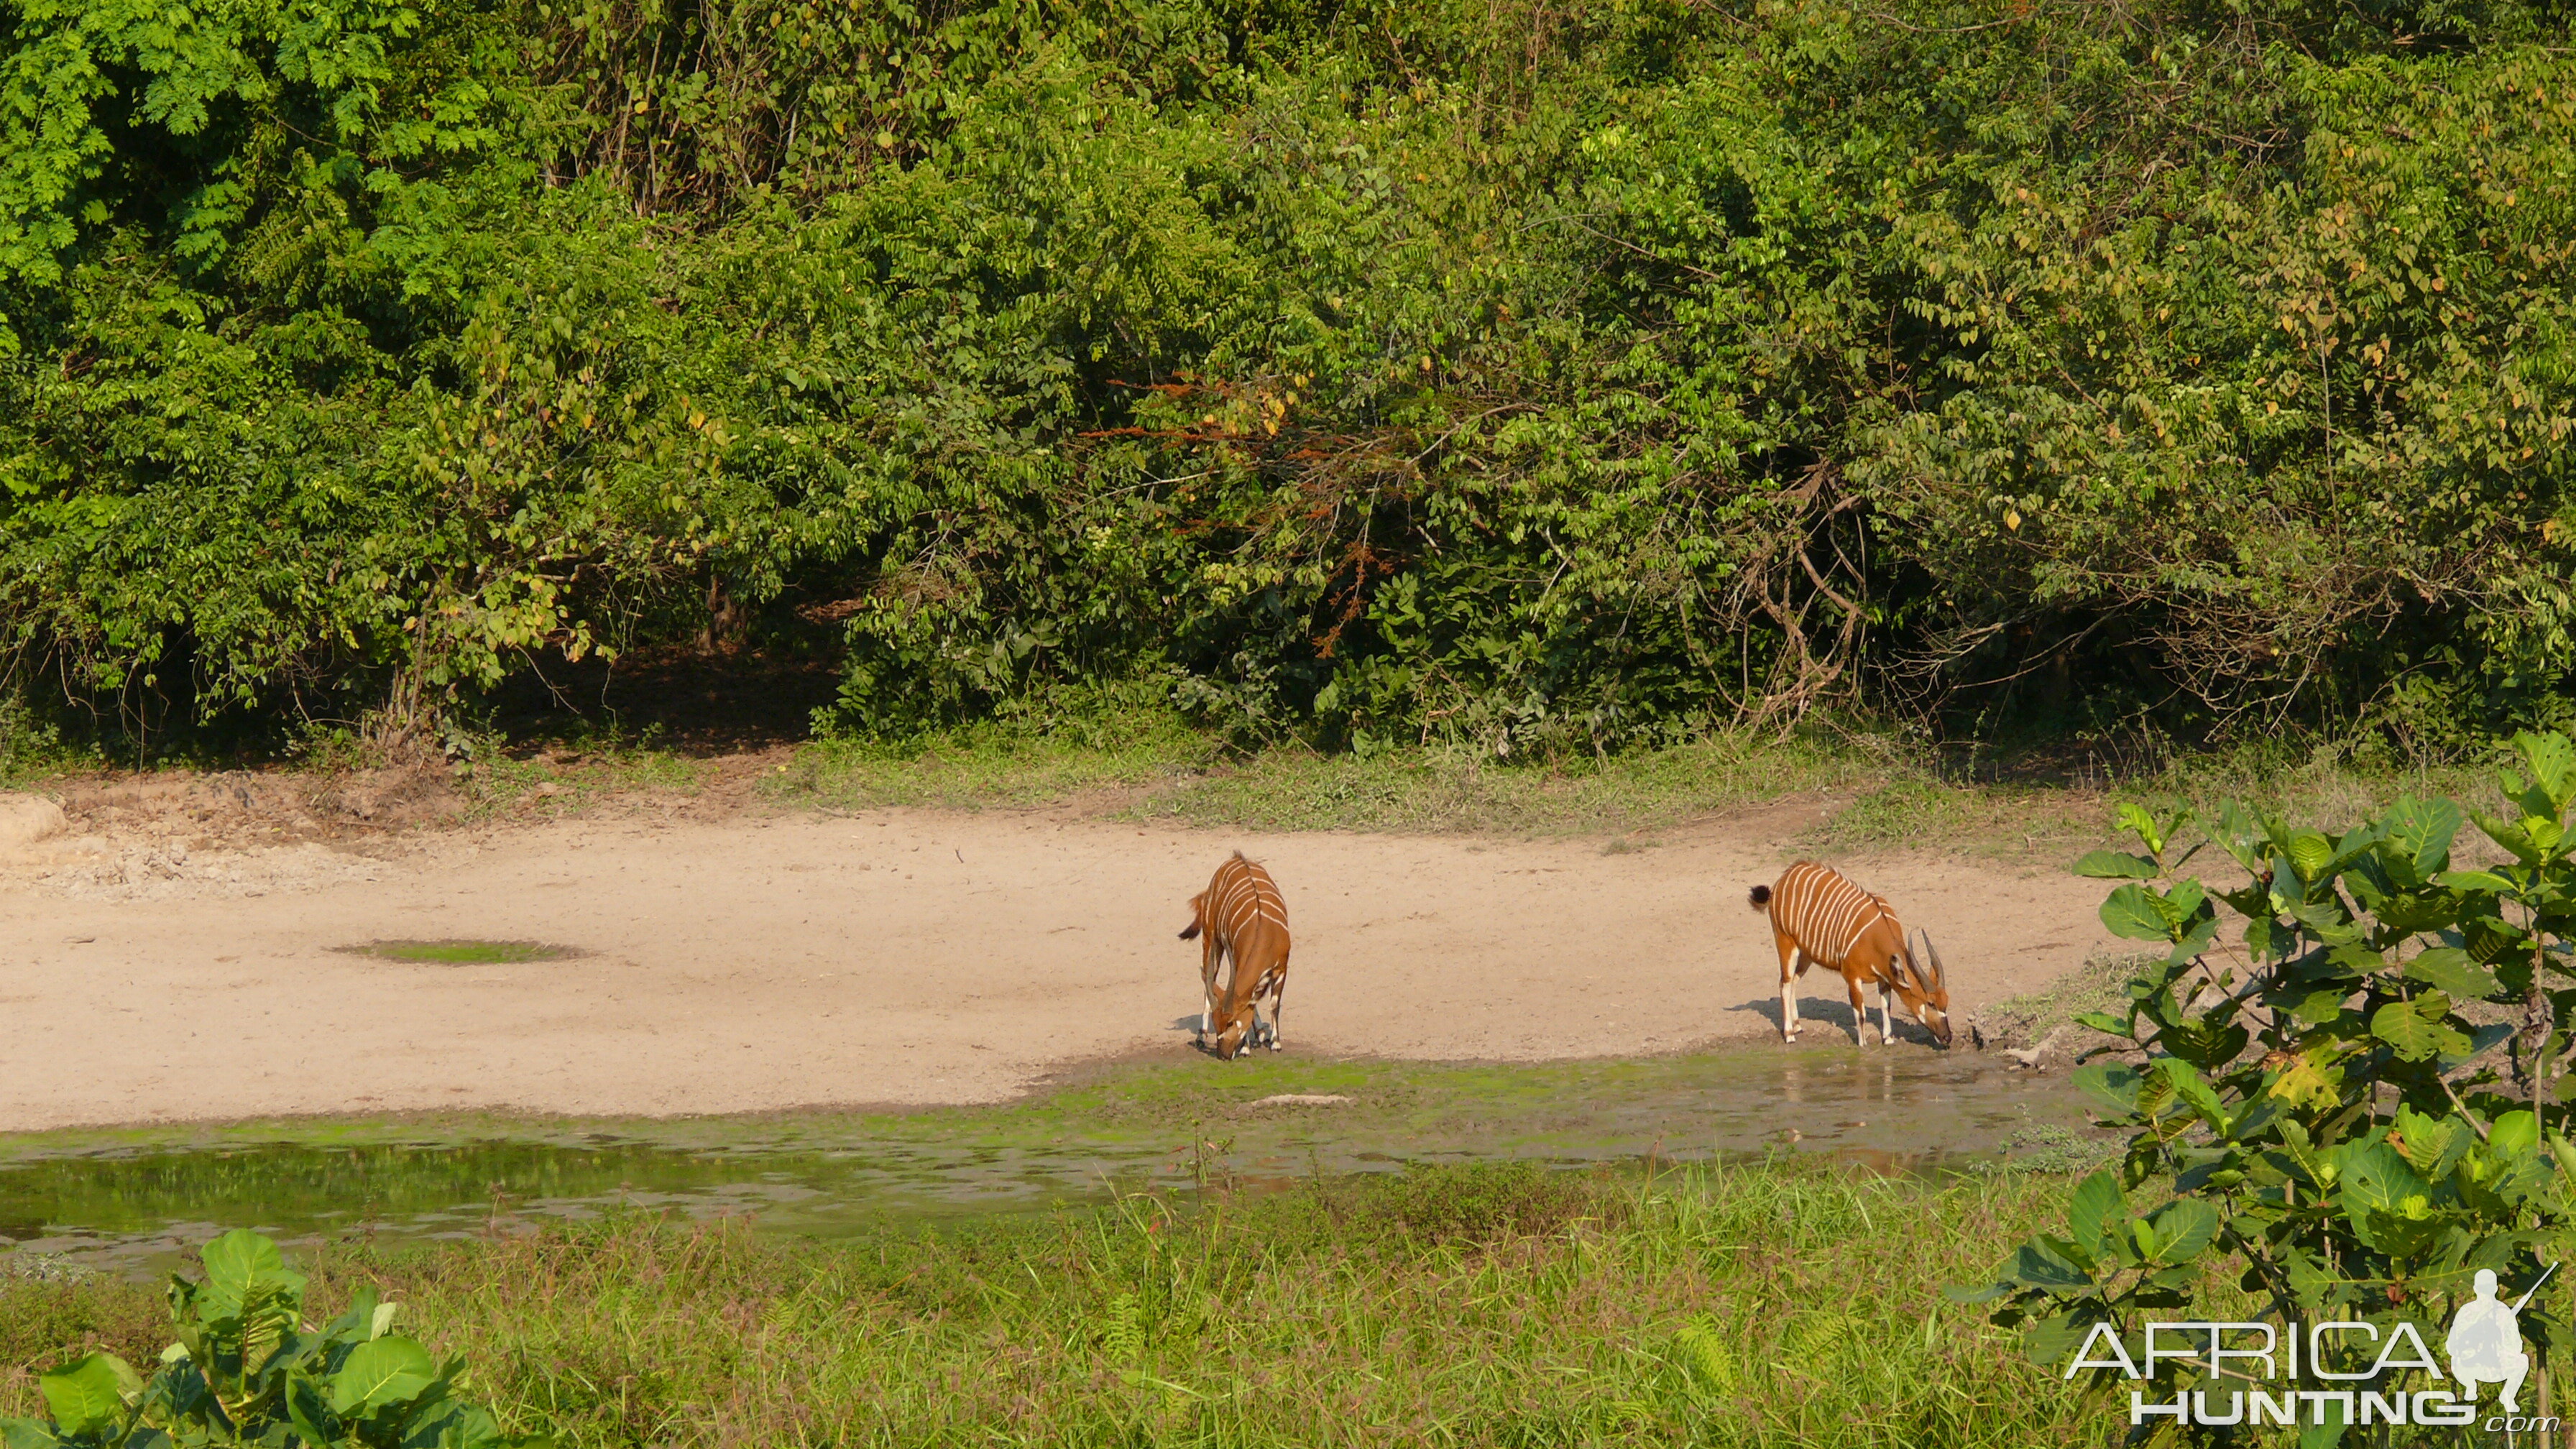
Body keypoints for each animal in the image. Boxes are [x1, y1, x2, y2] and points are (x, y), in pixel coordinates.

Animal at [1179, 850, 1288, 1057]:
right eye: (1217, 1024)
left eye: (1230, 1022)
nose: (1223, 1055)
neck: (1264, 932)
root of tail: (1236, 858)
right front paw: (1245, 1048)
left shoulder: (1281, 969)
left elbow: (1273, 1005)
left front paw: (1276, 1043)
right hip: (1210, 940)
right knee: (1208, 981)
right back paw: (1201, 1036)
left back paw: (1261, 1033)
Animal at [1752, 850, 1947, 1041]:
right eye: (1930, 1003)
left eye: (1946, 1001)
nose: (1947, 1037)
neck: (1874, 936)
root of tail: (1784, 878)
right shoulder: (1852, 978)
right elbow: (1860, 1015)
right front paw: (1863, 1045)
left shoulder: (1884, 979)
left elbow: (1886, 1006)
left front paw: (1888, 1038)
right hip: (1785, 941)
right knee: (1784, 983)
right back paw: (1789, 1034)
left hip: (1806, 954)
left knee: (1794, 980)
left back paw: (1798, 1026)